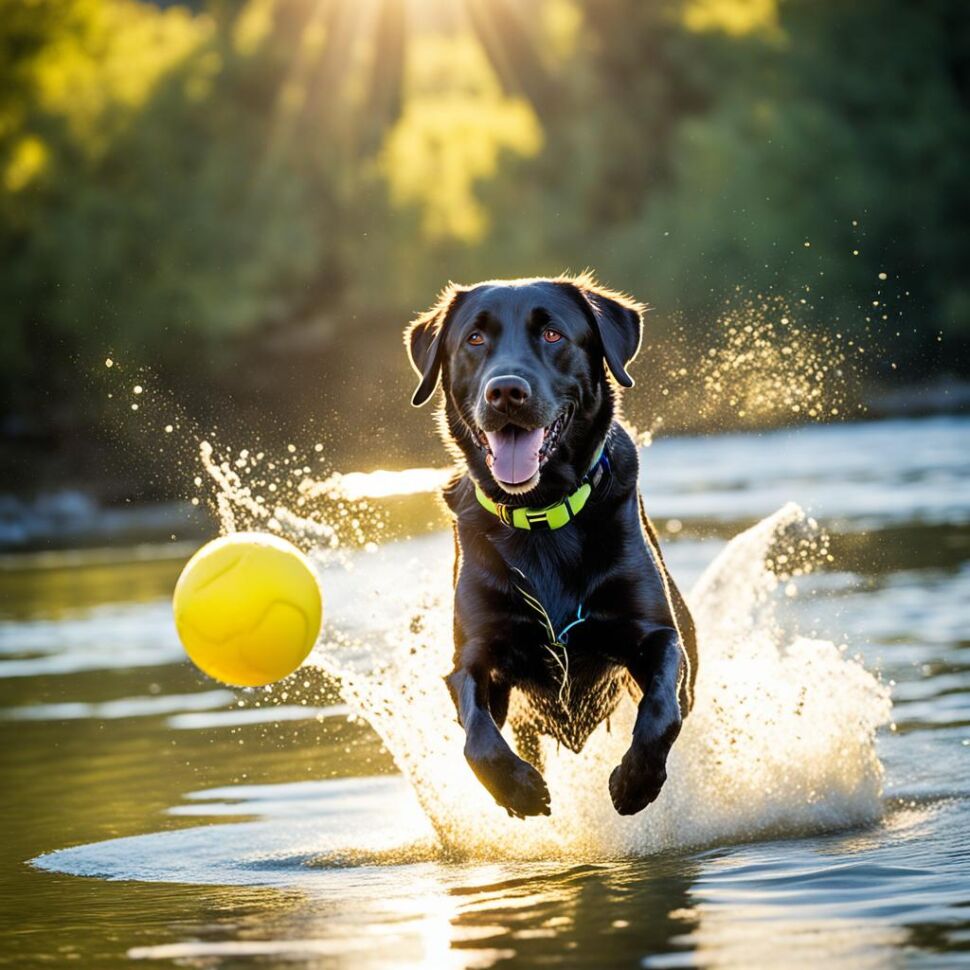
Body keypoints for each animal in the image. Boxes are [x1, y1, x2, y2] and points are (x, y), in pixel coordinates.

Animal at [402, 274, 696, 816]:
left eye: (553, 334)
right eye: (474, 339)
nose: (505, 391)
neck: (539, 516)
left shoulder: (659, 637)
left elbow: (662, 708)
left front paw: (636, 782)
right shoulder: (472, 658)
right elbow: (478, 736)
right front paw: (517, 788)